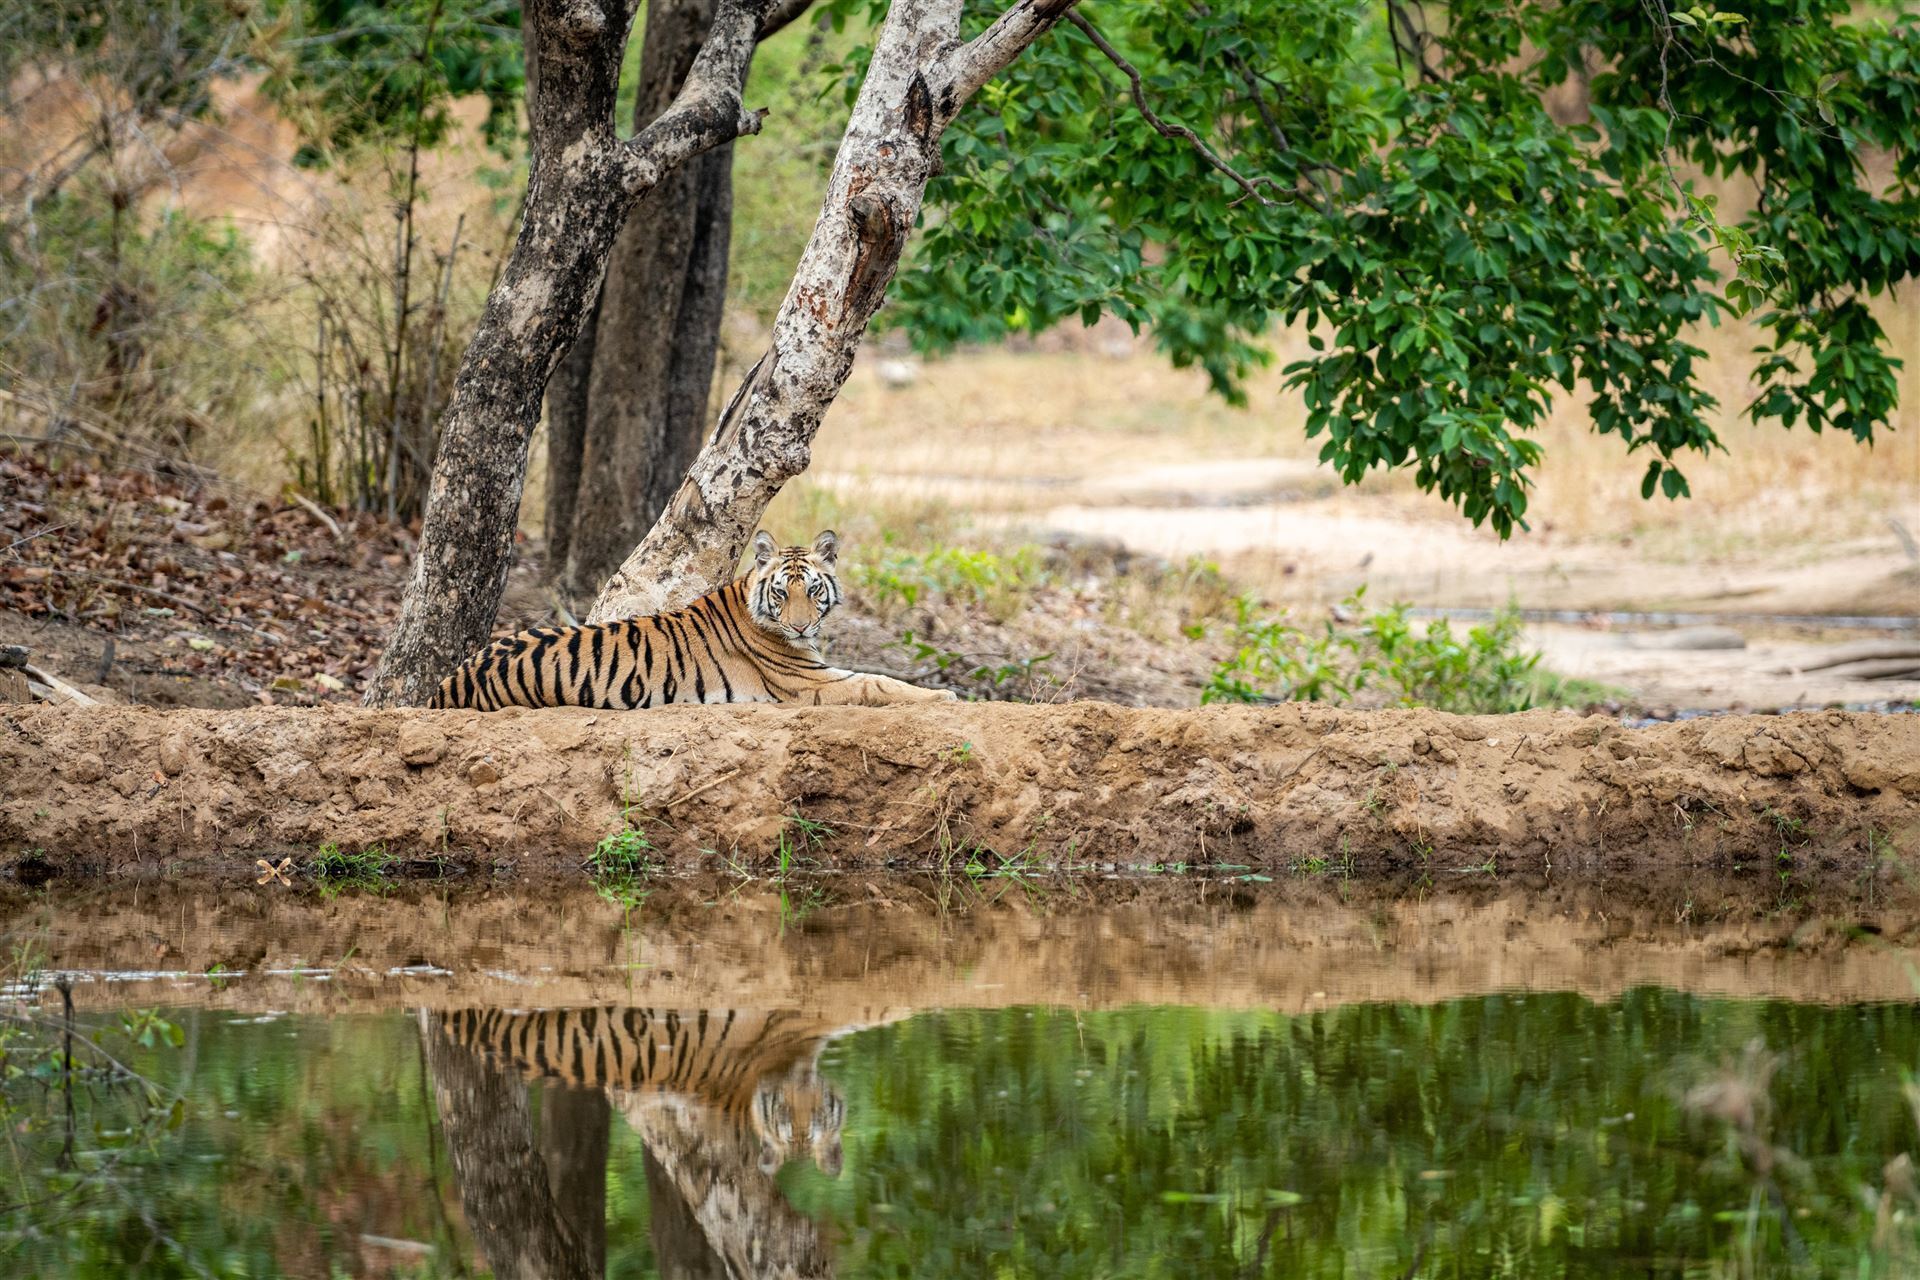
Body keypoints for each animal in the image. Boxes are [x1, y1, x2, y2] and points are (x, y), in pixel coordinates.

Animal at [428, 529, 956, 711]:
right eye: (782, 593)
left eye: (813, 590)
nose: (802, 628)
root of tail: (448, 683)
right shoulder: (811, 682)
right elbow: (880, 683)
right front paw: (946, 695)